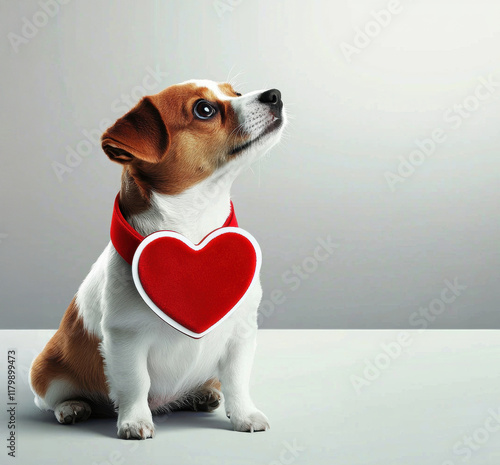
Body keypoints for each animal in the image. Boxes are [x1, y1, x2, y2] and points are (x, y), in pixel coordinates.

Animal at [28, 78, 286, 436]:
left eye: (234, 92)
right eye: (204, 109)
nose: (275, 95)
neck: (192, 230)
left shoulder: (240, 332)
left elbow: (237, 380)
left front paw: (244, 414)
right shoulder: (126, 339)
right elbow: (135, 383)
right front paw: (135, 420)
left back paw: (201, 393)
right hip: (47, 371)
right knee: (52, 398)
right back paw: (73, 406)